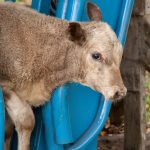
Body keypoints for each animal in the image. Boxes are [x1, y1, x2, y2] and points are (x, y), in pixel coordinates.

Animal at [0, 1, 126, 149]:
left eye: (120, 53)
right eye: (96, 55)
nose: (120, 91)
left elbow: (8, 131)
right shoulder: (5, 85)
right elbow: (26, 121)